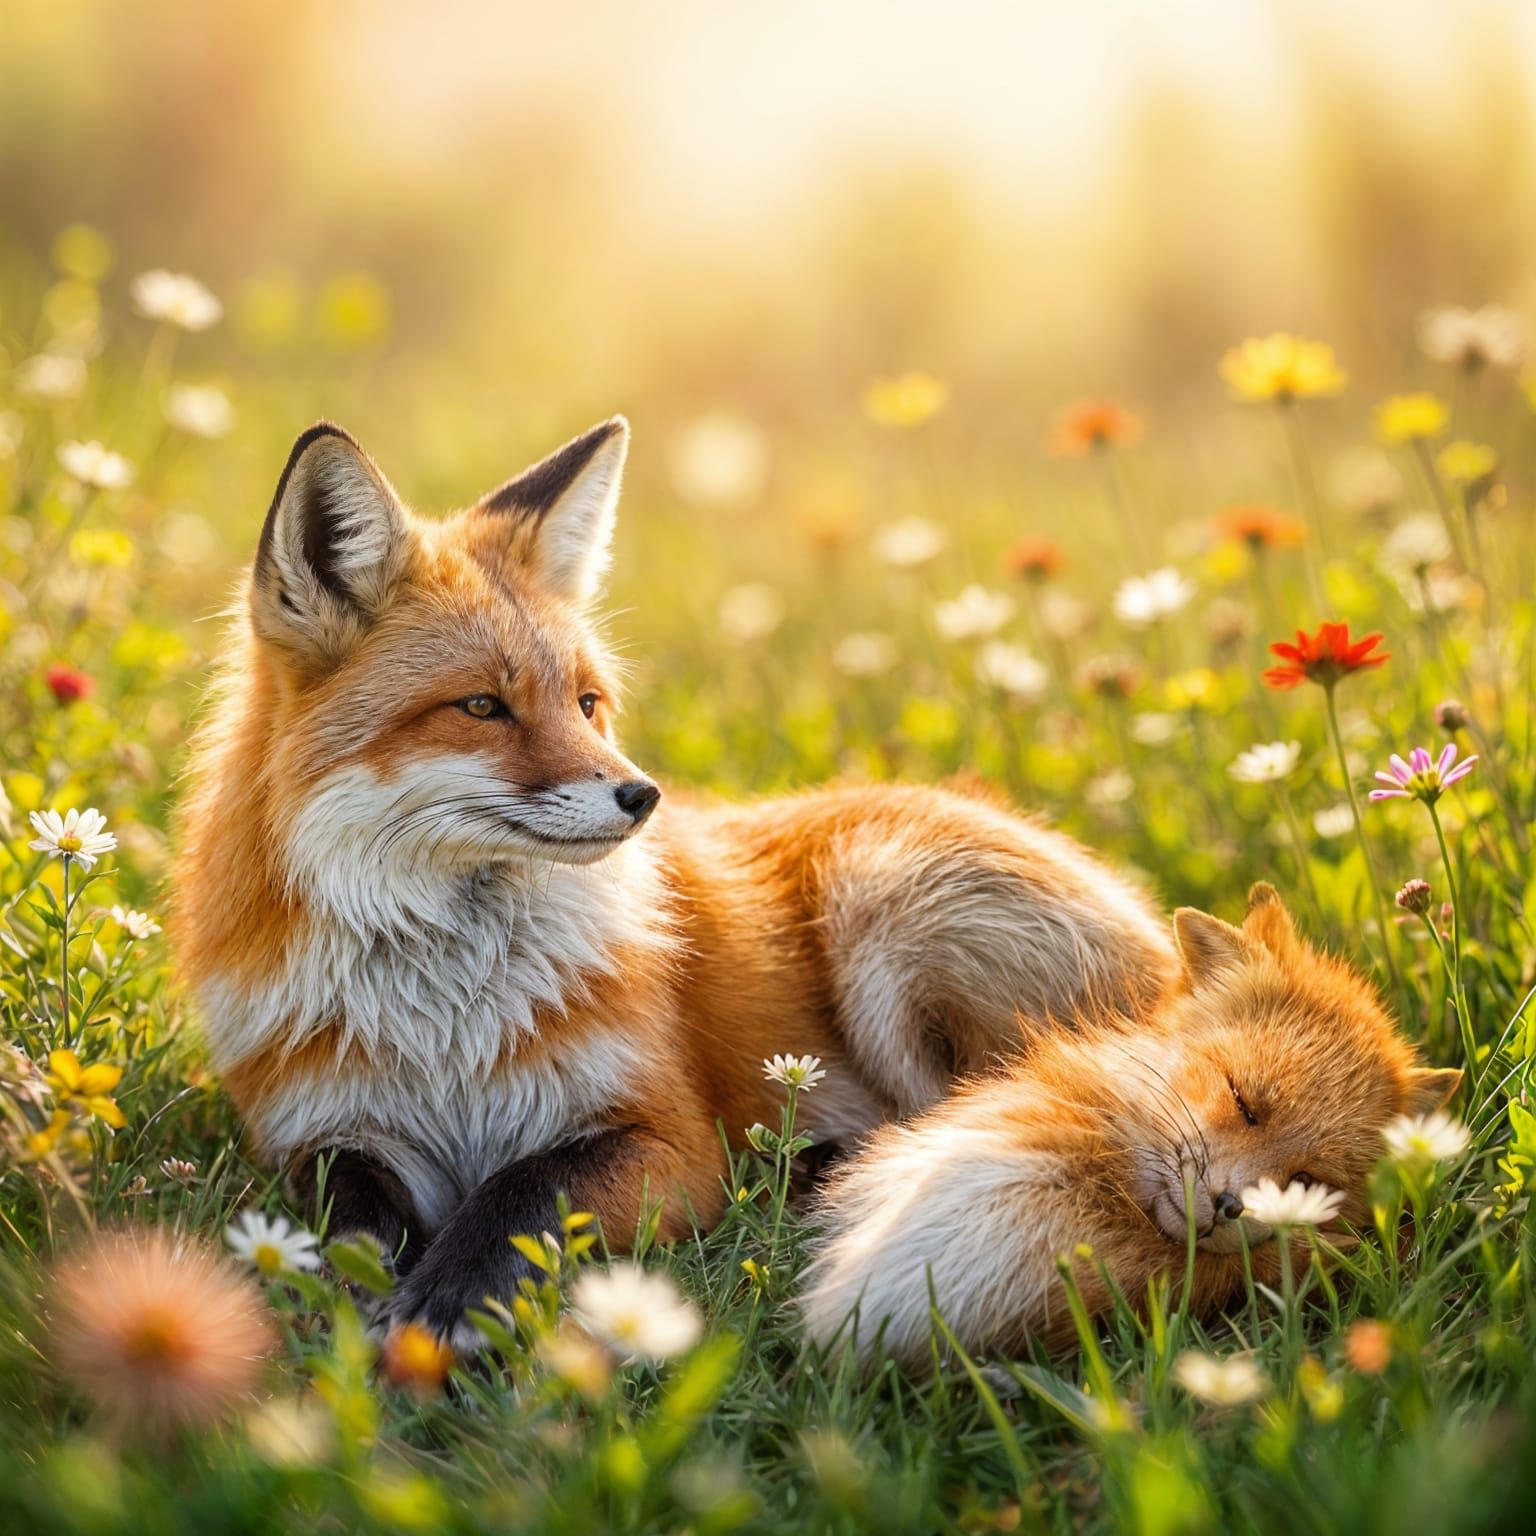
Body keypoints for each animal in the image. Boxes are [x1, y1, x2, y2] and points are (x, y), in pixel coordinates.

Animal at [174, 416, 1180, 1344]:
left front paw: (445, 1305)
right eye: (481, 706)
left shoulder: (662, 1134)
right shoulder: (325, 1135)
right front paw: (346, 1300)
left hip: (882, 901)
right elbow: (345, 1228)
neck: (445, 1021)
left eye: (586, 703)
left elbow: (521, 1192)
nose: (642, 795)